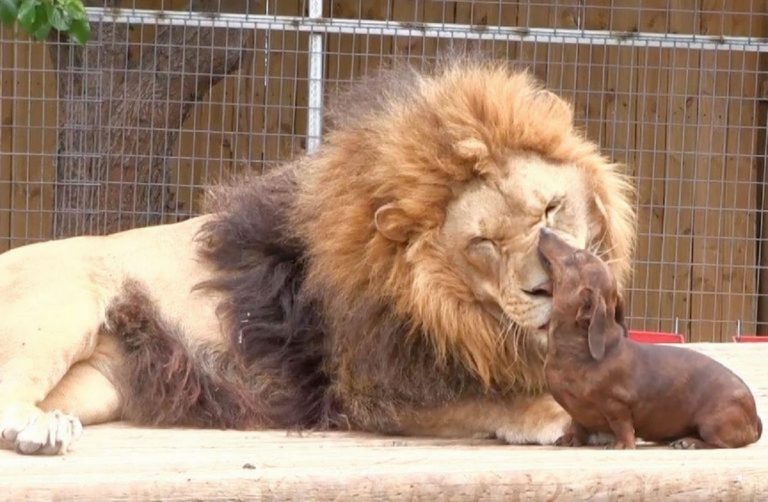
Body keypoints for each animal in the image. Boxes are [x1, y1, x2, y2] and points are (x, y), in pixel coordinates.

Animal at [0, 57, 635, 455]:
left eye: (551, 209)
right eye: (484, 245)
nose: (547, 288)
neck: (454, 308)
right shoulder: (368, 388)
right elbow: (488, 400)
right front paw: (557, 415)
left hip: (99, 383)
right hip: (61, 304)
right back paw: (41, 430)